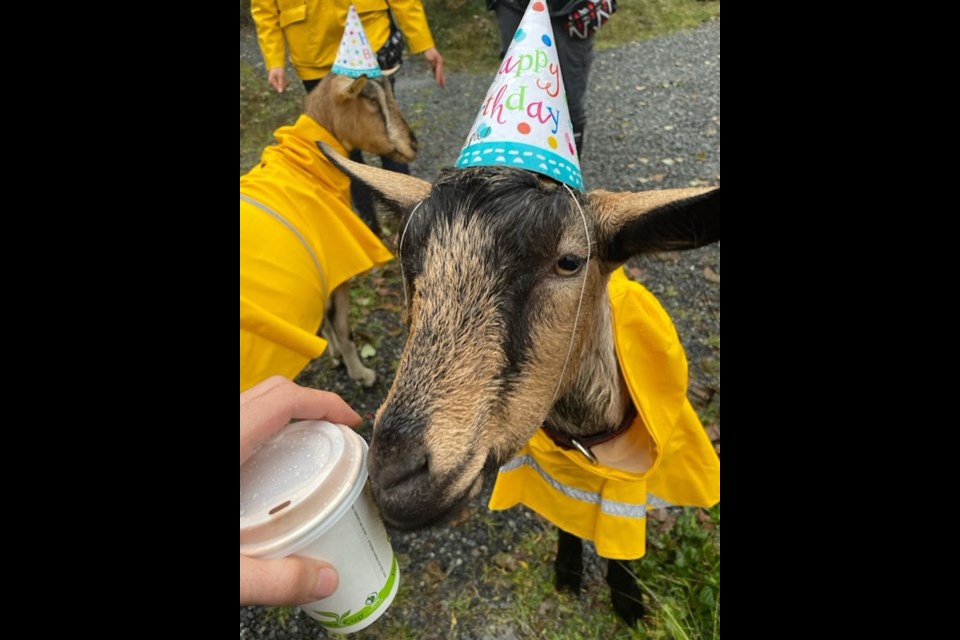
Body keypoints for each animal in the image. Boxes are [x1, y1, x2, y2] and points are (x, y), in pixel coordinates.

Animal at [238, 70, 414, 390]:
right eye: (371, 100)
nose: (413, 144)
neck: (305, 167)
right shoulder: (337, 272)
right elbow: (342, 329)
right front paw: (361, 374)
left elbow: (326, 321)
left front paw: (334, 356)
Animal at [318, 149, 716, 624]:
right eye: (407, 260)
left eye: (570, 261)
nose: (395, 478)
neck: (583, 435)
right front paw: (567, 573)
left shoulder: (627, 483)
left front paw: (628, 600)